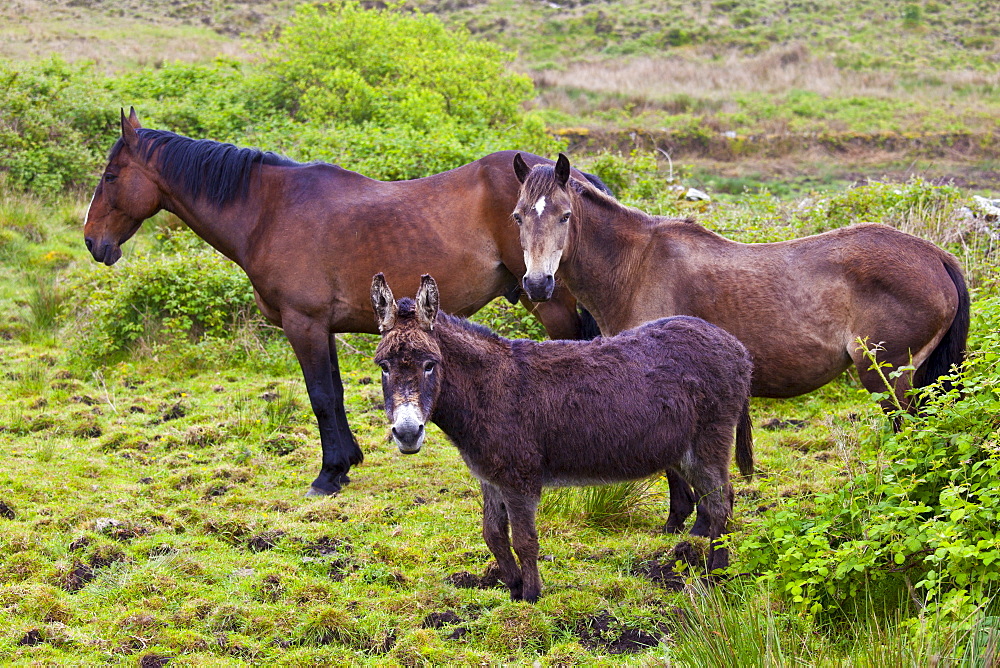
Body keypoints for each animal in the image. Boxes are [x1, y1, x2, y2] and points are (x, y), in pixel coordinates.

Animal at [80, 108, 608, 496]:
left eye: (110, 176)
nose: (91, 242)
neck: (269, 211)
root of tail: (574, 178)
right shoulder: (323, 327)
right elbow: (332, 393)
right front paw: (347, 462)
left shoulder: (304, 324)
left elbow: (320, 397)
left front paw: (328, 474)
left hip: (549, 302)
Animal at [372, 272, 752, 600]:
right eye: (384, 366)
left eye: (430, 364)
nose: (407, 433)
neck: (487, 388)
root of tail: (735, 346)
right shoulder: (490, 477)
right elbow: (493, 535)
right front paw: (513, 587)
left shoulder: (520, 479)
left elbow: (524, 540)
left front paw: (531, 596)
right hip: (685, 449)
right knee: (719, 499)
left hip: (709, 442)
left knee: (720, 503)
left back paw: (715, 576)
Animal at [512, 151, 964, 532]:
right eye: (518, 217)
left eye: (565, 216)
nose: (537, 284)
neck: (636, 267)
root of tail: (936, 256)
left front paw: (682, 522)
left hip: (887, 376)